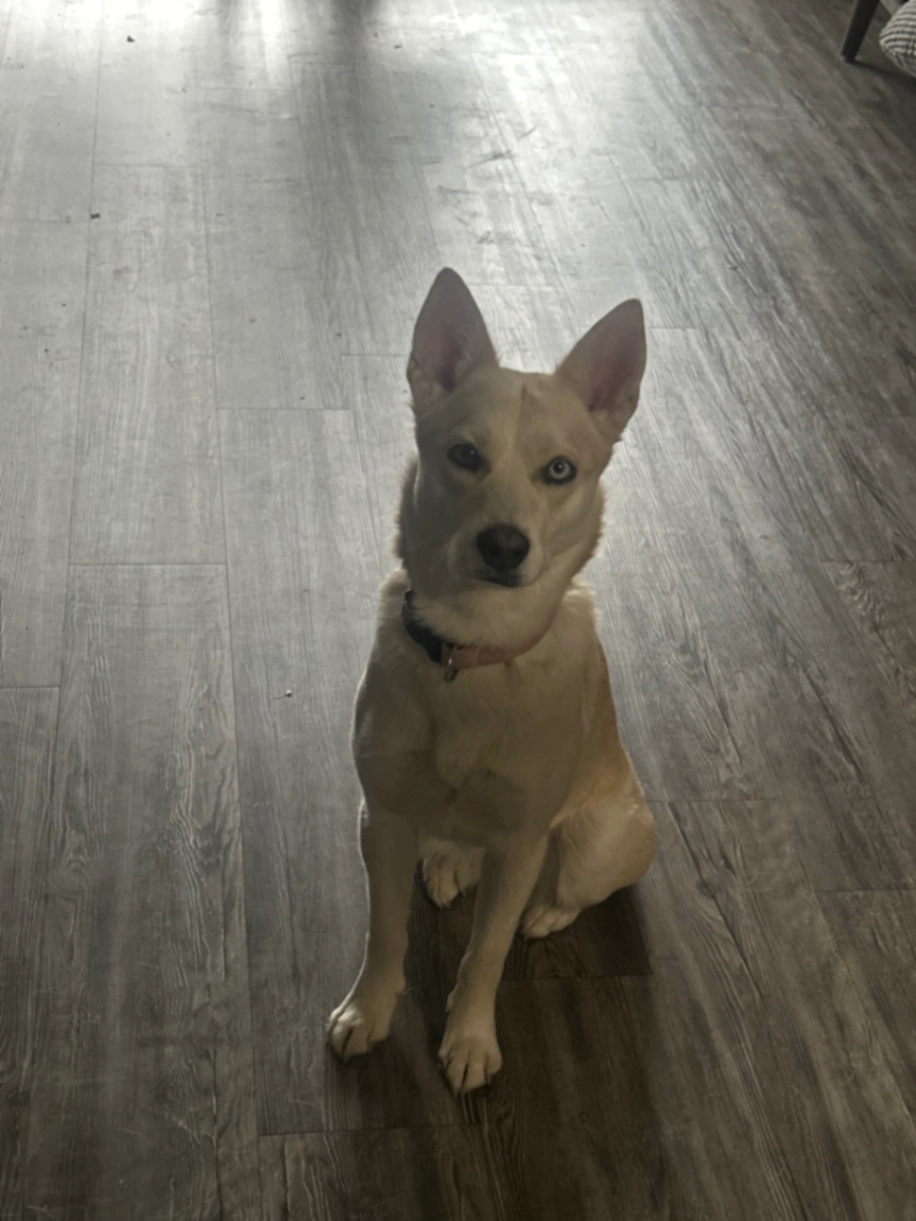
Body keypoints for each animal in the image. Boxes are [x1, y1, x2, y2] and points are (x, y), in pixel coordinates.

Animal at [328, 269, 655, 1093]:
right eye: (465, 454)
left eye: (560, 469)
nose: (504, 544)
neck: (472, 650)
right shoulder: (381, 815)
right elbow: (385, 932)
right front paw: (367, 1010)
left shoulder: (521, 841)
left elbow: (486, 952)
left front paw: (471, 1037)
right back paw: (450, 858)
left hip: (600, 837)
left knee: (567, 888)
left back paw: (544, 911)